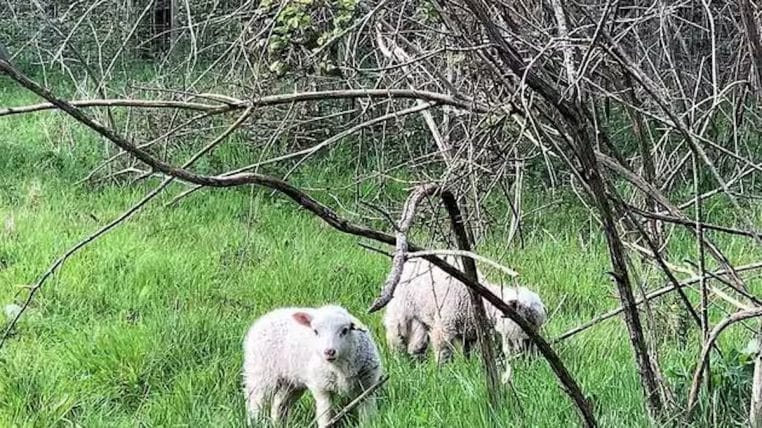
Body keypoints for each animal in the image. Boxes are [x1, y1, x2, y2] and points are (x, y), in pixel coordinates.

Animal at [242, 304, 382, 428]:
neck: (339, 368)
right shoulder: (322, 389)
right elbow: (325, 417)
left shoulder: (367, 387)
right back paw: (255, 422)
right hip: (261, 372)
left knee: (279, 404)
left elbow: (368, 415)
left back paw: (277, 424)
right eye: (315, 331)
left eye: (345, 330)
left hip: (291, 382)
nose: (329, 351)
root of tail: (267, 316)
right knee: (255, 402)